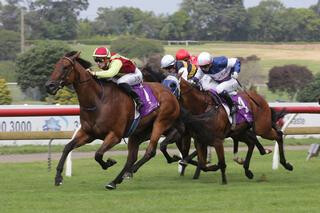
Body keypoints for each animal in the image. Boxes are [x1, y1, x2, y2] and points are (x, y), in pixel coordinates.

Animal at [45, 51, 180, 190]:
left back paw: (130, 171)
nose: (49, 86)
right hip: (140, 132)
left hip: (160, 123)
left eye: (65, 67)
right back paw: (115, 181)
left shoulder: (115, 135)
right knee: (132, 157)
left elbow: (98, 154)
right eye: (55, 66)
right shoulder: (88, 134)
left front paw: (109, 162)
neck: (98, 100)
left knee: (150, 151)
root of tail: (169, 92)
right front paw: (58, 177)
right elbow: (67, 147)